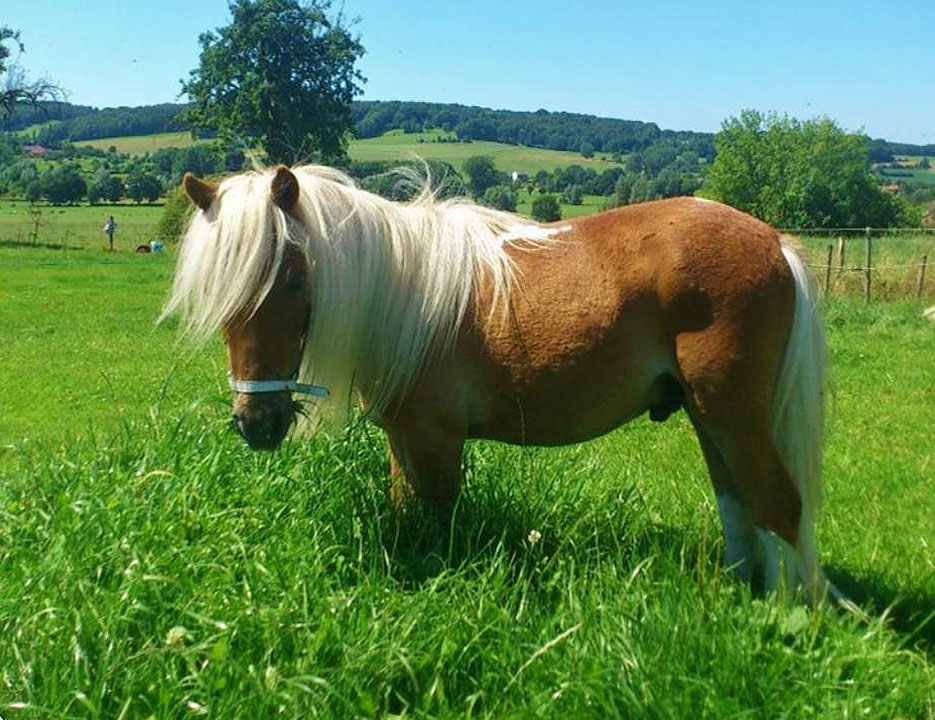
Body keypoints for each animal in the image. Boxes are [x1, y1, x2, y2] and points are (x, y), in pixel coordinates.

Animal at [163, 163, 832, 600]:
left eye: (294, 277)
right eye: (219, 289)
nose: (257, 425)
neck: (404, 295)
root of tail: (772, 240)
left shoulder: (436, 442)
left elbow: (437, 527)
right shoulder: (404, 440)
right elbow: (405, 510)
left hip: (733, 416)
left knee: (778, 504)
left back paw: (788, 618)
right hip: (708, 417)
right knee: (740, 506)